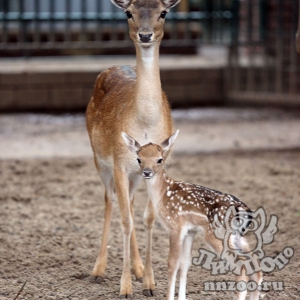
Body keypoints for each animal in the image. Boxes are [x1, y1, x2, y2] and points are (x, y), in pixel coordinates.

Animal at [85, 0, 182, 298]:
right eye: (129, 13)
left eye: (163, 12)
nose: (146, 34)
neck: (146, 124)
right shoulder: (118, 162)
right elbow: (125, 220)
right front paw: (125, 287)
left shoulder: (156, 165)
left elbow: (148, 217)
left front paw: (149, 282)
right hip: (100, 161)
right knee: (110, 200)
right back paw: (98, 270)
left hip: (134, 176)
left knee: (129, 201)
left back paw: (138, 269)